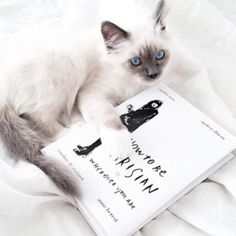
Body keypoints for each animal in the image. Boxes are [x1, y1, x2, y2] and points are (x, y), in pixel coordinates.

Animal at [0, 0, 171, 196]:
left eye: (160, 55)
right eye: (136, 62)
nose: (153, 75)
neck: (132, 83)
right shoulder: (92, 93)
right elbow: (110, 119)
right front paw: (120, 146)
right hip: (63, 69)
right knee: (41, 118)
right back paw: (72, 130)